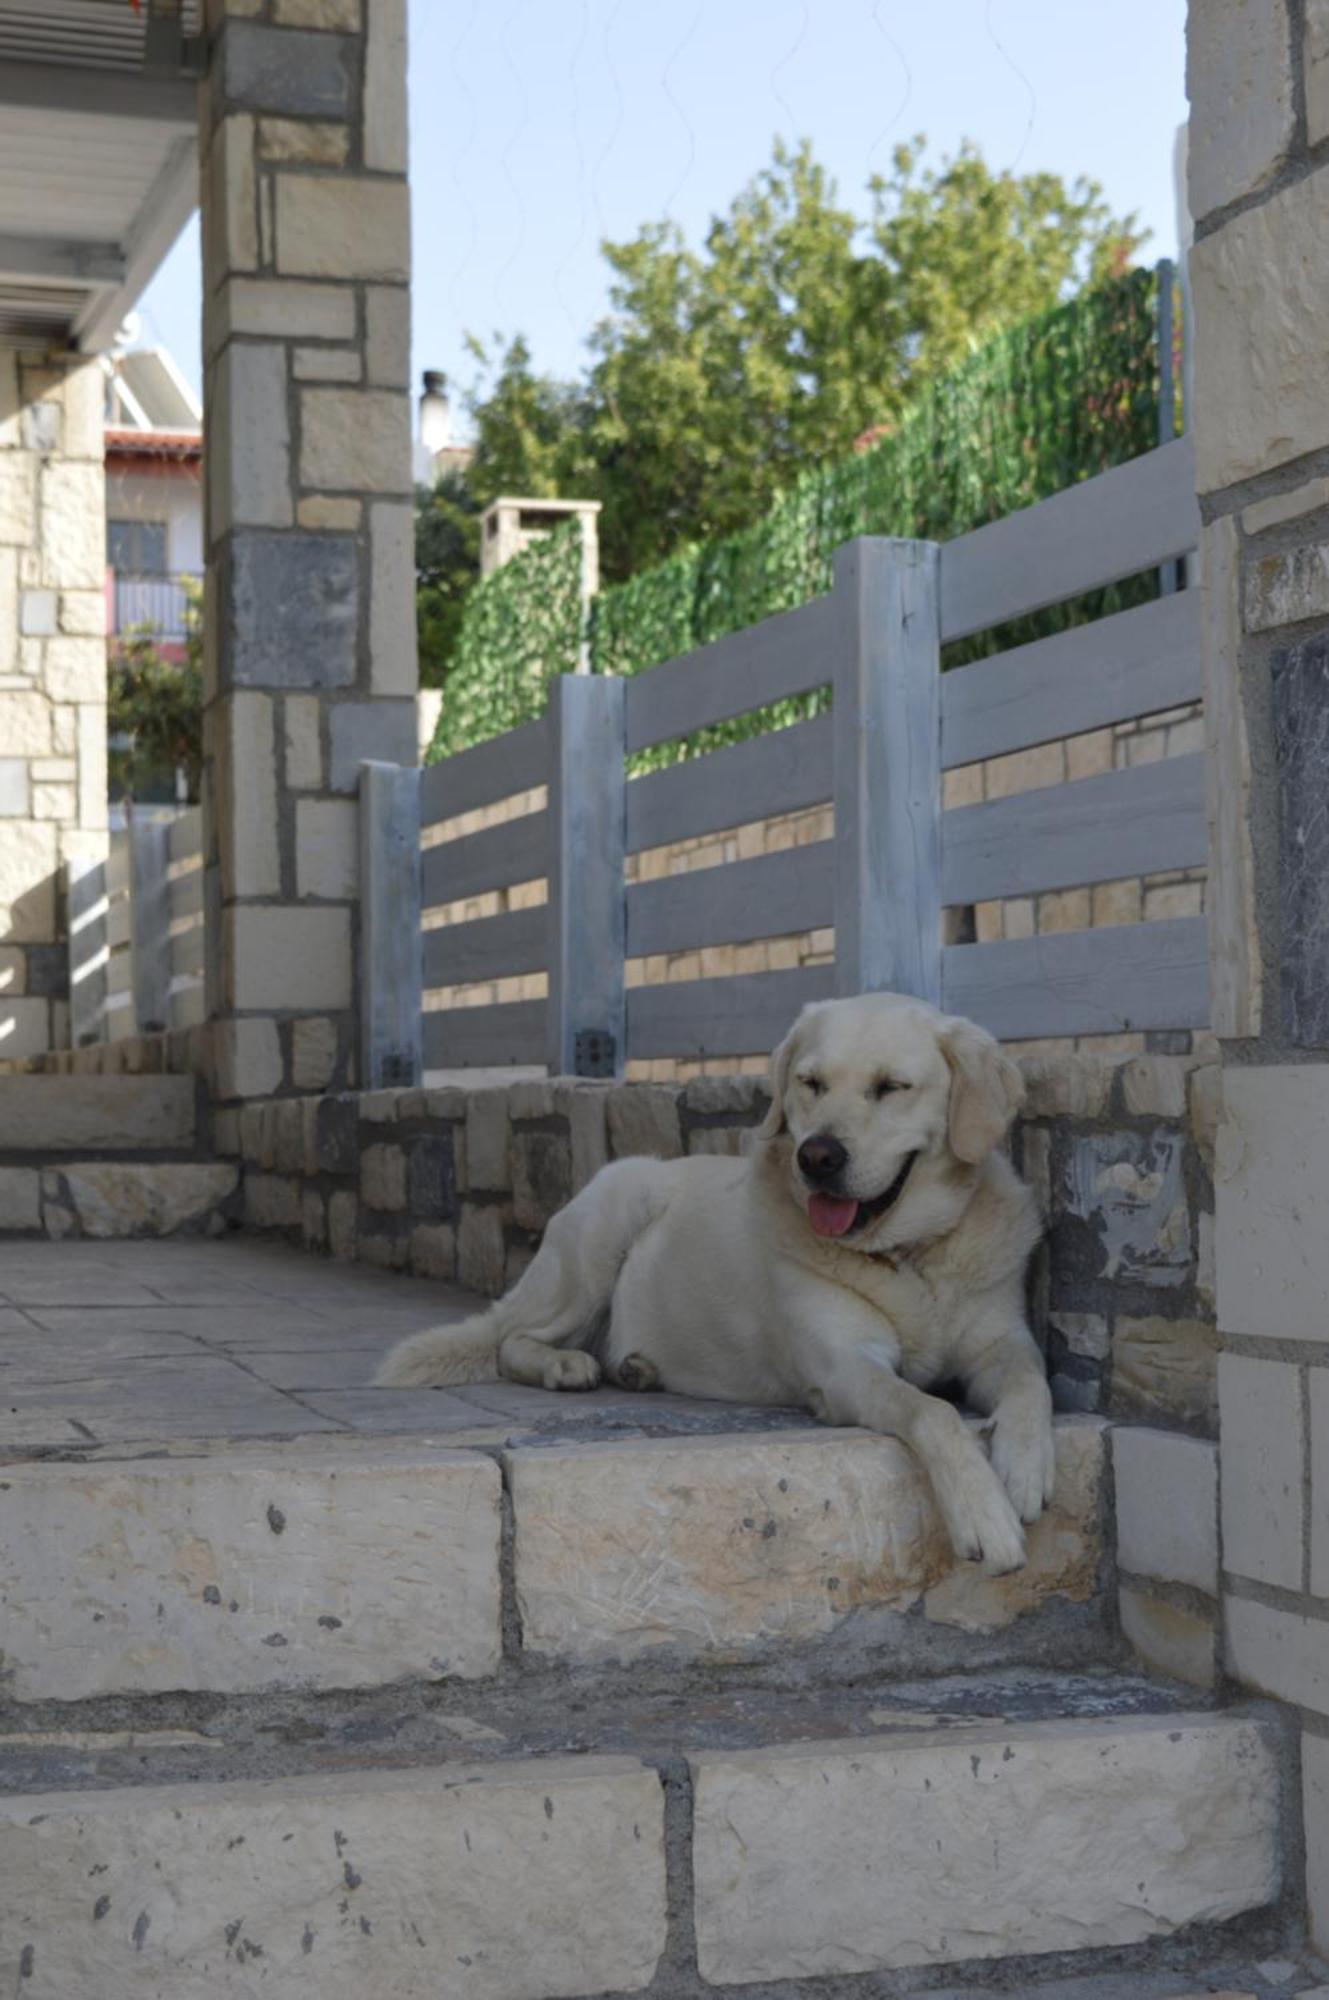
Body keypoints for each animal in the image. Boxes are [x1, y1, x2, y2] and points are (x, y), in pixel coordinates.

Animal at [378, 992, 1056, 1568]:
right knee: (511, 1339)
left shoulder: (1000, 1343)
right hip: (610, 1219)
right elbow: (931, 1411)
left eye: (891, 1087)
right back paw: (566, 1365)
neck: (908, 1256)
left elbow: (1032, 1381)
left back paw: (635, 1367)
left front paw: (1023, 1467)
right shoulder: (844, 1368)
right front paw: (984, 1514)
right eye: (811, 1083)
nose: (817, 1156)